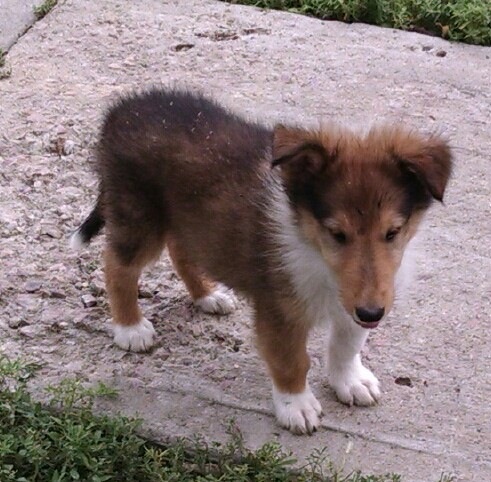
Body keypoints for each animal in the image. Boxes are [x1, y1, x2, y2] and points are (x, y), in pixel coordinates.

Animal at [70, 88, 454, 434]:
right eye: (337, 234)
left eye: (393, 232)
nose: (373, 314)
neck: (316, 255)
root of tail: (121, 111)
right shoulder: (280, 309)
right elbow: (291, 361)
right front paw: (296, 406)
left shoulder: (356, 300)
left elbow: (347, 345)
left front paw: (350, 381)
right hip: (138, 215)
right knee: (118, 266)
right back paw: (131, 328)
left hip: (189, 218)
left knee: (181, 250)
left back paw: (208, 296)